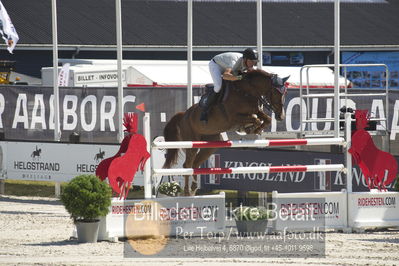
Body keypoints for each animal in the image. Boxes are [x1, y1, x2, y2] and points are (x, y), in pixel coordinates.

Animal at [161, 69, 290, 195]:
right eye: (276, 92)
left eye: (285, 93)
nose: (281, 116)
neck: (246, 91)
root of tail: (183, 115)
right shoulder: (233, 118)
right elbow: (256, 119)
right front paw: (250, 128)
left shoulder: (255, 110)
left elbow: (266, 119)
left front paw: (254, 129)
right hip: (191, 143)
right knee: (187, 165)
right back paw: (187, 191)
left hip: (210, 145)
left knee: (195, 164)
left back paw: (193, 188)